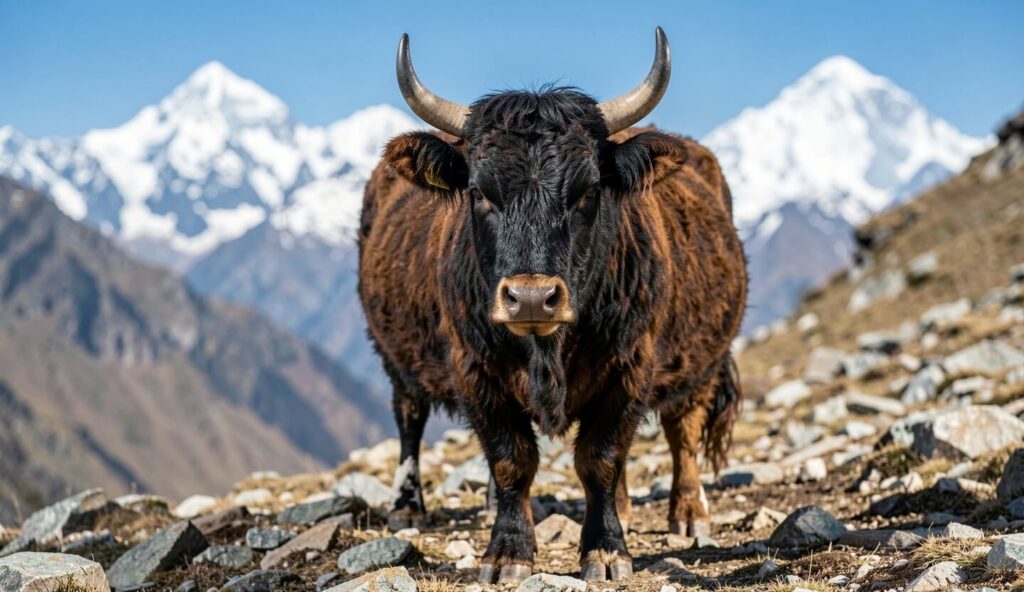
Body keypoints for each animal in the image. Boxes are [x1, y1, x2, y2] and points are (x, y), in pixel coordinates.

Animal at [359, 27, 747, 584]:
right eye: (480, 192)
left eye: (587, 192)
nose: (530, 298)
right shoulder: (474, 368)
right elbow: (511, 459)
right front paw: (507, 552)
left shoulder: (632, 365)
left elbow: (600, 457)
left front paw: (606, 550)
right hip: (395, 357)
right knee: (409, 416)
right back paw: (408, 507)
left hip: (702, 362)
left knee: (684, 430)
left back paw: (689, 513)